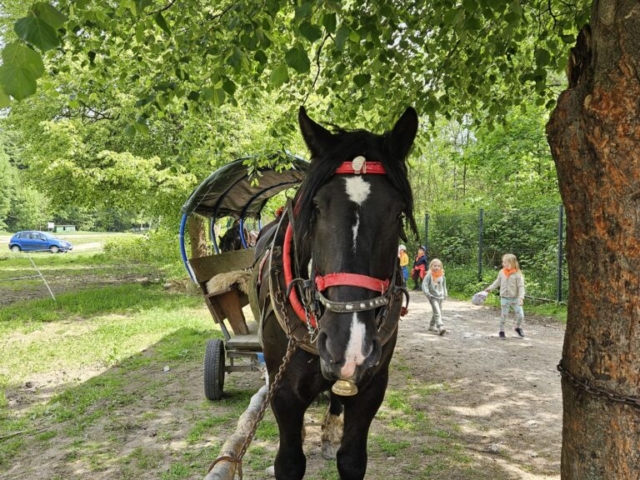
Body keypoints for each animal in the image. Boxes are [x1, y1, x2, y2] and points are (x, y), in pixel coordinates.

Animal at [255, 106, 420, 480]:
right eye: (316, 207)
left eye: (398, 213)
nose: (349, 345)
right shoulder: (284, 393)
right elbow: (289, 462)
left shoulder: (370, 387)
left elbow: (352, 459)